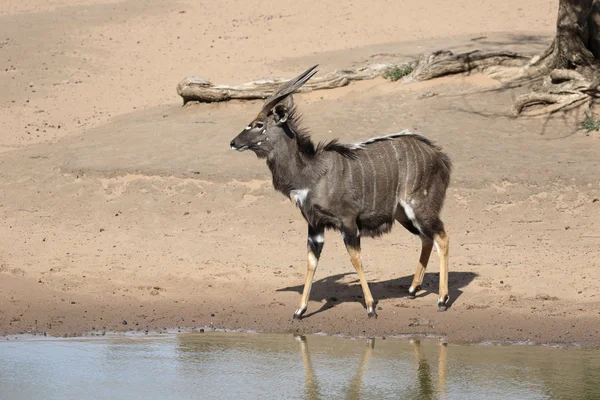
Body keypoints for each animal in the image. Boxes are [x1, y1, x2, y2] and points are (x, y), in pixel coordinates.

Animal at [230, 65, 450, 318]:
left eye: (259, 124)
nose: (233, 142)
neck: (311, 173)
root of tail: (440, 156)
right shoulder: (315, 224)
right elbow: (311, 261)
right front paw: (300, 310)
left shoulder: (348, 221)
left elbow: (355, 258)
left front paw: (371, 306)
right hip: (404, 215)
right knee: (427, 238)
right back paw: (413, 289)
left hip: (420, 207)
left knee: (441, 237)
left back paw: (442, 299)